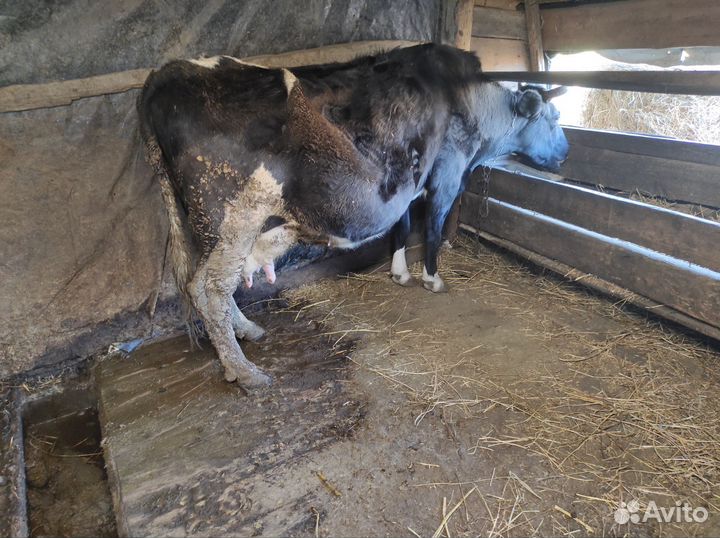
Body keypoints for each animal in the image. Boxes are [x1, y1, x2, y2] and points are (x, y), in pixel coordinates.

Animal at [137, 43, 568, 389]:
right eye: (554, 117)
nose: (566, 153)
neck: (469, 98)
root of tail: (163, 74)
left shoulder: (404, 183)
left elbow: (403, 226)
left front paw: (399, 273)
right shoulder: (448, 170)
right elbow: (432, 227)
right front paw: (431, 278)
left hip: (205, 222)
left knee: (208, 283)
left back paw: (246, 330)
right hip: (232, 213)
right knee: (209, 287)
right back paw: (244, 371)